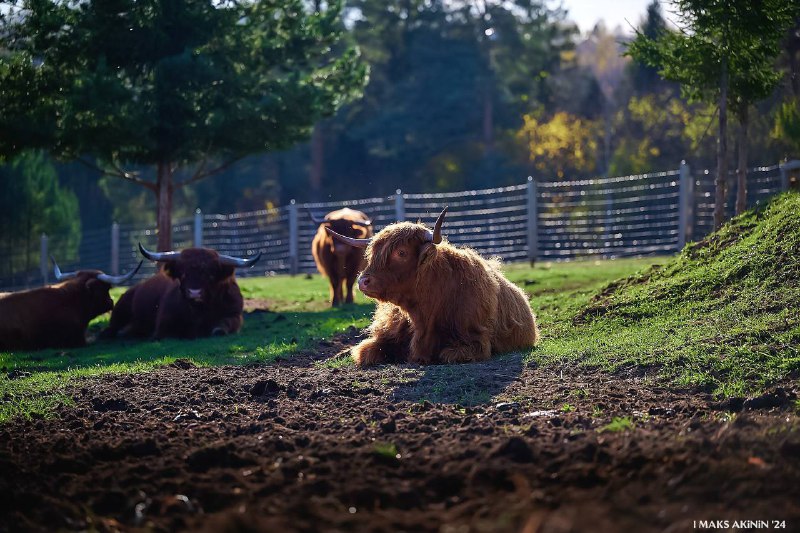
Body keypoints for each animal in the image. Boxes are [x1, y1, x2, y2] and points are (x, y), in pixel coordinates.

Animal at [101, 243, 260, 338]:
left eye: (210, 274)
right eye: (183, 273)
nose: (194, 292)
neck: (199, 311)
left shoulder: (235, 314)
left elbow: (222, 327)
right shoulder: (163, 325)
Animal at [328, 208, 540, 366]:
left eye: (401, 253)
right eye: (372, 254)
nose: (363, 281)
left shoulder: (475, 342)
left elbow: (449, 354)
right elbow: (365, 350)